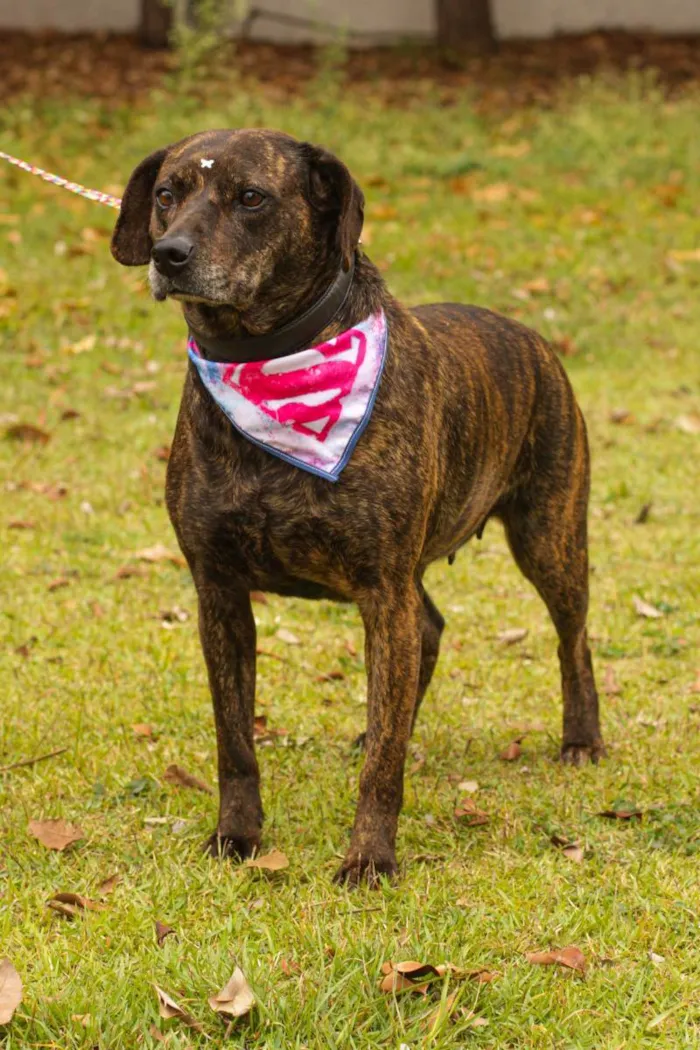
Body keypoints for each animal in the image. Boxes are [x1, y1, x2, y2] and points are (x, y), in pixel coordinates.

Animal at [112, 129, 604, 886]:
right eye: (167, 193)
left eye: (251, 197)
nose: (170, 254)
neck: (273, 358)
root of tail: (532, 337)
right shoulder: (219, 593)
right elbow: (235, 741)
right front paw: (237, 835)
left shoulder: (380, 588)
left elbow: (382, 771)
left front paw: (370, 857)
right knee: (427, 632)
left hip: (548, 536)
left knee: (571, 638)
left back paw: (581, 737)